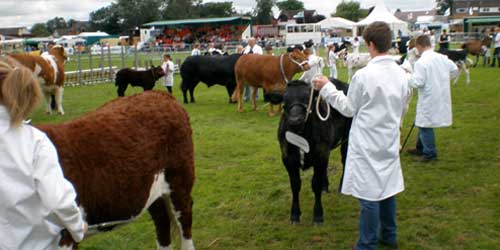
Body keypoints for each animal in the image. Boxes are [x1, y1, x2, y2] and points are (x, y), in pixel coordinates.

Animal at [36, 91, 195, 250]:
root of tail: (161, 94)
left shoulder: (66, 235)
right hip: (153, 189)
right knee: (161, 220)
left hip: (179, 178)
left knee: (184, 217)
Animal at [278, 78, 352, 225]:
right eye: (284, 101)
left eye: (308, 98)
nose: (295, 119)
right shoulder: (287, 158)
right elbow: (295, 185)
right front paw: (295, 214)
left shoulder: (320, 154)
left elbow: (315, 184)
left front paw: (318, 215)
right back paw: (325, 186)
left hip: (346, 137)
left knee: (344, 159)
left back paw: (341, 186)